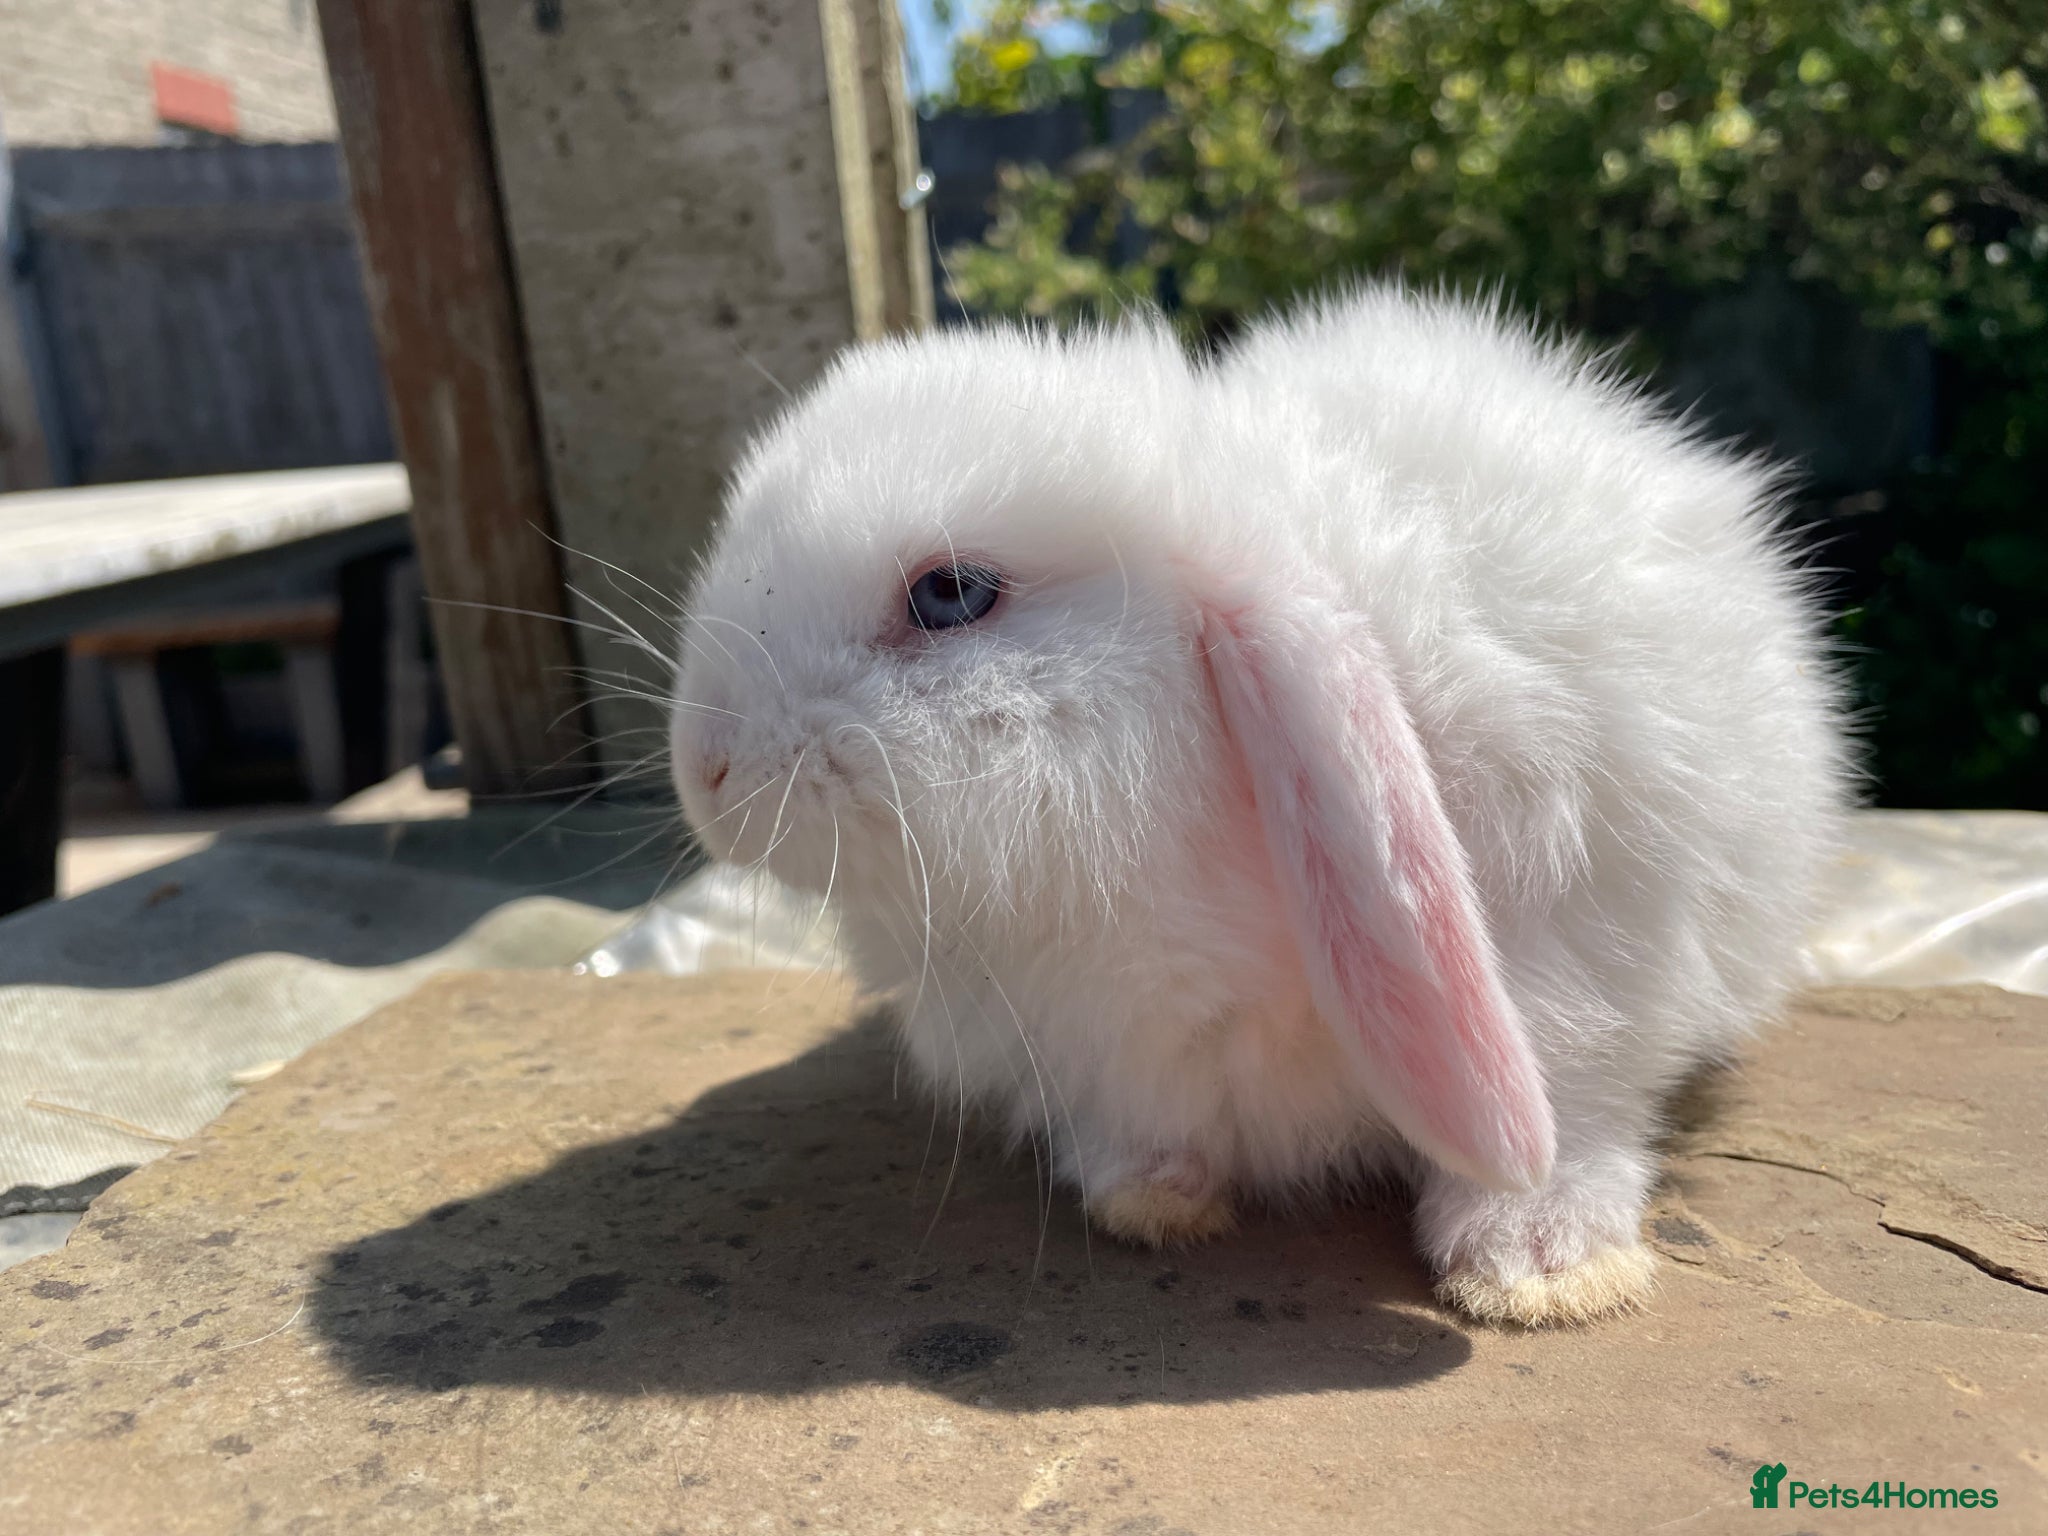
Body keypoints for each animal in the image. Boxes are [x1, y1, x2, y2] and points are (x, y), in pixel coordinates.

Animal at [667, 284, 1850, 1327]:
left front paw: (1537, 1266)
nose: (703, 773)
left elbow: (1579, 1111)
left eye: (949, 594)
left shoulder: (1591, 958)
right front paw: (1148, 1197)